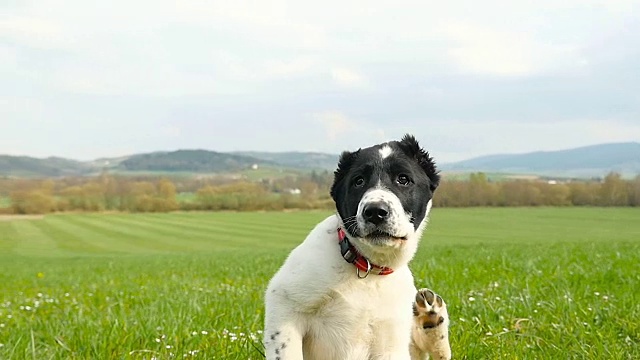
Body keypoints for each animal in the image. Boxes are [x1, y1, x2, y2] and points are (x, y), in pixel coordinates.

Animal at [262, 136, 452, 360]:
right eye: (358, 181)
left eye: (403, 179)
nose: (375, 211)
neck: (367, 269)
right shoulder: (285, 306)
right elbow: (286, 351)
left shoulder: (391, 342)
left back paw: (432, 319)